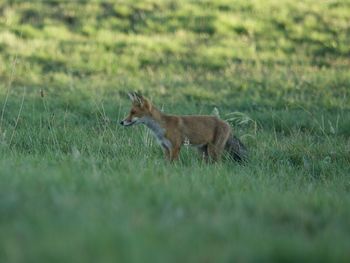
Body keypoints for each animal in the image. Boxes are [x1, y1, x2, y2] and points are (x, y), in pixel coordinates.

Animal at [120, 93, 249, 163]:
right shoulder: (165, 148)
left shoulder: (175, 147)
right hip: (203, 151)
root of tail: (227, 123)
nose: (121, 122)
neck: (161, 128)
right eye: (130, 112)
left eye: (133, 113)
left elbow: (173, 164)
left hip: (213, 151)